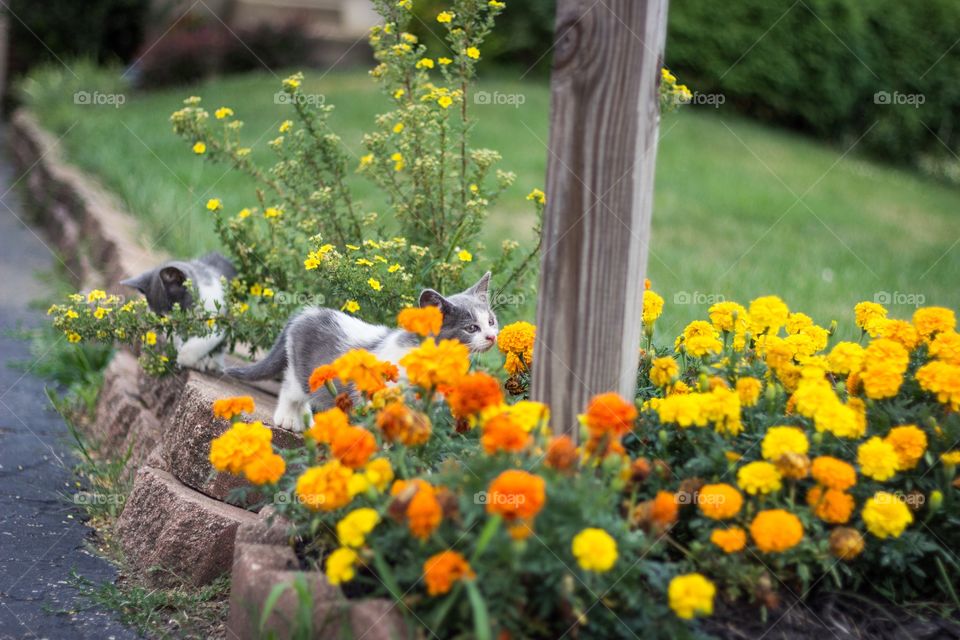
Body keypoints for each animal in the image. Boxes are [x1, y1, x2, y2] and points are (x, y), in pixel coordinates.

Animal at [225, 272, 496, 432]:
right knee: (292, 387)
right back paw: (291, 418)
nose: (492, 336)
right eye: (471, 328)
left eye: (491, 321)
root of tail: (306, 313)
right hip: (304, 369)